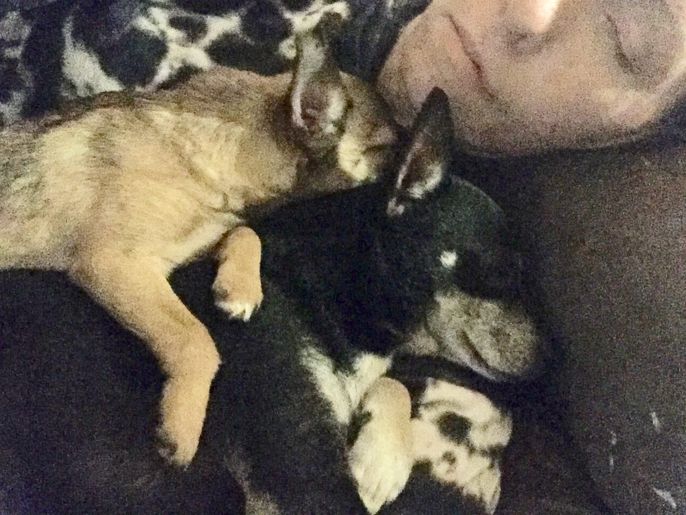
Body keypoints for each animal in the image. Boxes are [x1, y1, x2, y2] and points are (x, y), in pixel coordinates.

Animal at [0, 19, 398, 467]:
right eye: (390, 146)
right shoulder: (115, 263)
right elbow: (196, 340)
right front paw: (182, 427)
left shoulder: (193, 242)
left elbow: (245, 233)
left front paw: (239, 288)